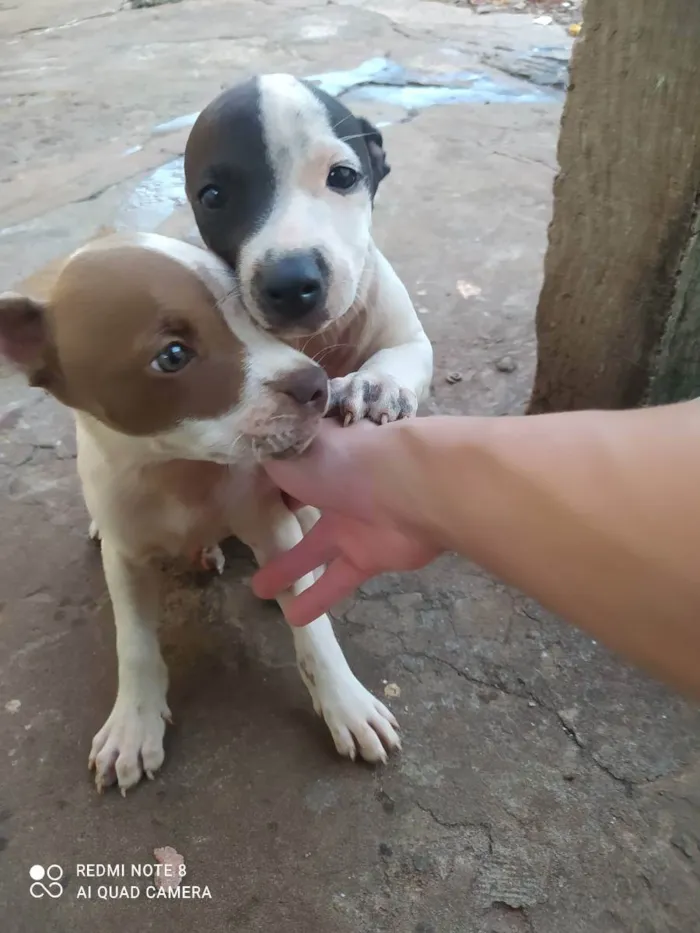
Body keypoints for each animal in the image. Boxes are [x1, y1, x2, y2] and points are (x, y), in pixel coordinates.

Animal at [0, 233, 402, 792]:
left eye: (249, 317)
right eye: (172, 356)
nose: (318, 383)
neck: (176, 471)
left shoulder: (271, 526)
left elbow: (313, 628)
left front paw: (346, 703)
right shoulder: (126, 559)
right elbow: (134, 642)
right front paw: (133, 721)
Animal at [183, 76, 432, 426]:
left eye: (343, 175)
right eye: (213, 196)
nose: (290, 284)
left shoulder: (409, 337)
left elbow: (399, 353)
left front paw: (378, 384)